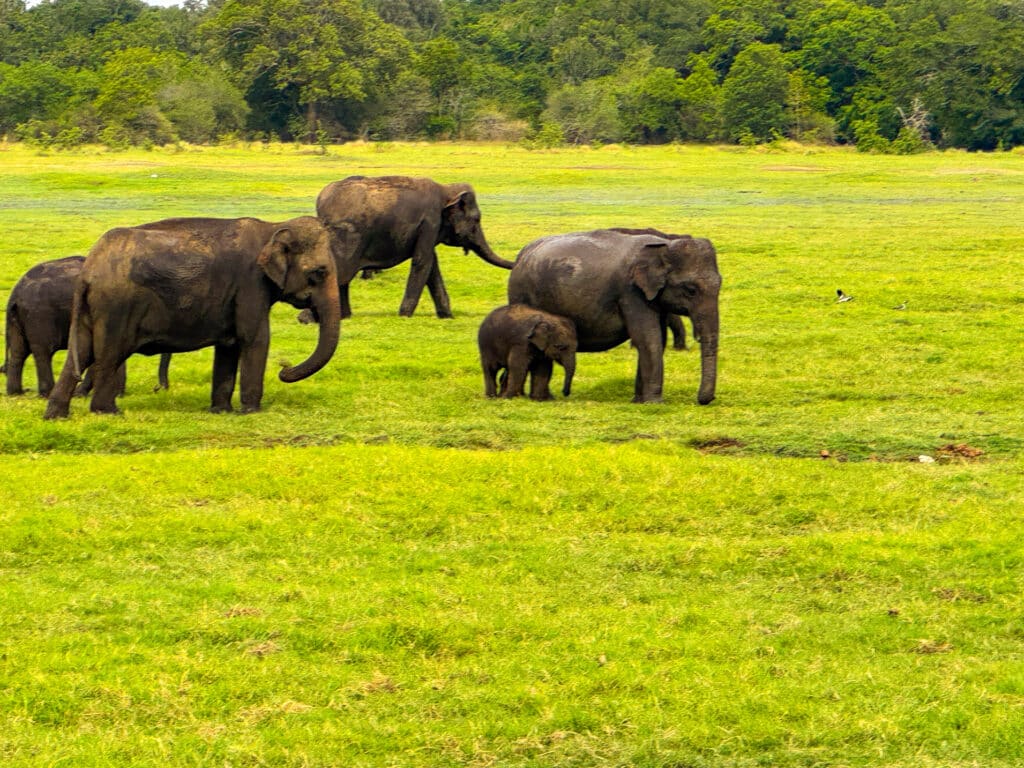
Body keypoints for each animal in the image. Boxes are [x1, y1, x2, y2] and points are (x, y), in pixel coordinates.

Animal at [3, 255, 169, 397]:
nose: (157, 389)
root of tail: (15, 295)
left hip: (19, 319)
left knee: (19, 351)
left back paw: (16, 393)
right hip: (40, 316)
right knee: (43, 351)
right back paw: (47, 393)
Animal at [44, 216, 341, 419]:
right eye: (320, 272)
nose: (284, 369)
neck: (272, 227)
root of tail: (88, 270)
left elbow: (229, 345)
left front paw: (221, 411)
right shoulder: (250, 284)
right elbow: (254, 338)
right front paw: (251, 412)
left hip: (90, 308)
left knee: (81, 351)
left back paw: (56, 416)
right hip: (116, 306)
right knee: (110, 355)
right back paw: (107, 412)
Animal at [314, 175, 515, 319]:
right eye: (477, 220)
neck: (446, 189)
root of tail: (321, 201)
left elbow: (432, 265)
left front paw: (447, 316)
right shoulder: (430, 223)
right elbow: (422, 261)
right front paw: (404, 315)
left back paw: (344, 316)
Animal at [507, 228, 720, 404]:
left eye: (720, 284)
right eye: (691, 290)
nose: (704, 400)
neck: (663, 245)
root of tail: (521, 256)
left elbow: (657, 338)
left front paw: (638, 401)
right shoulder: (631, 292)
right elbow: (647, 338)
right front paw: (654, 403)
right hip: (521, 294)